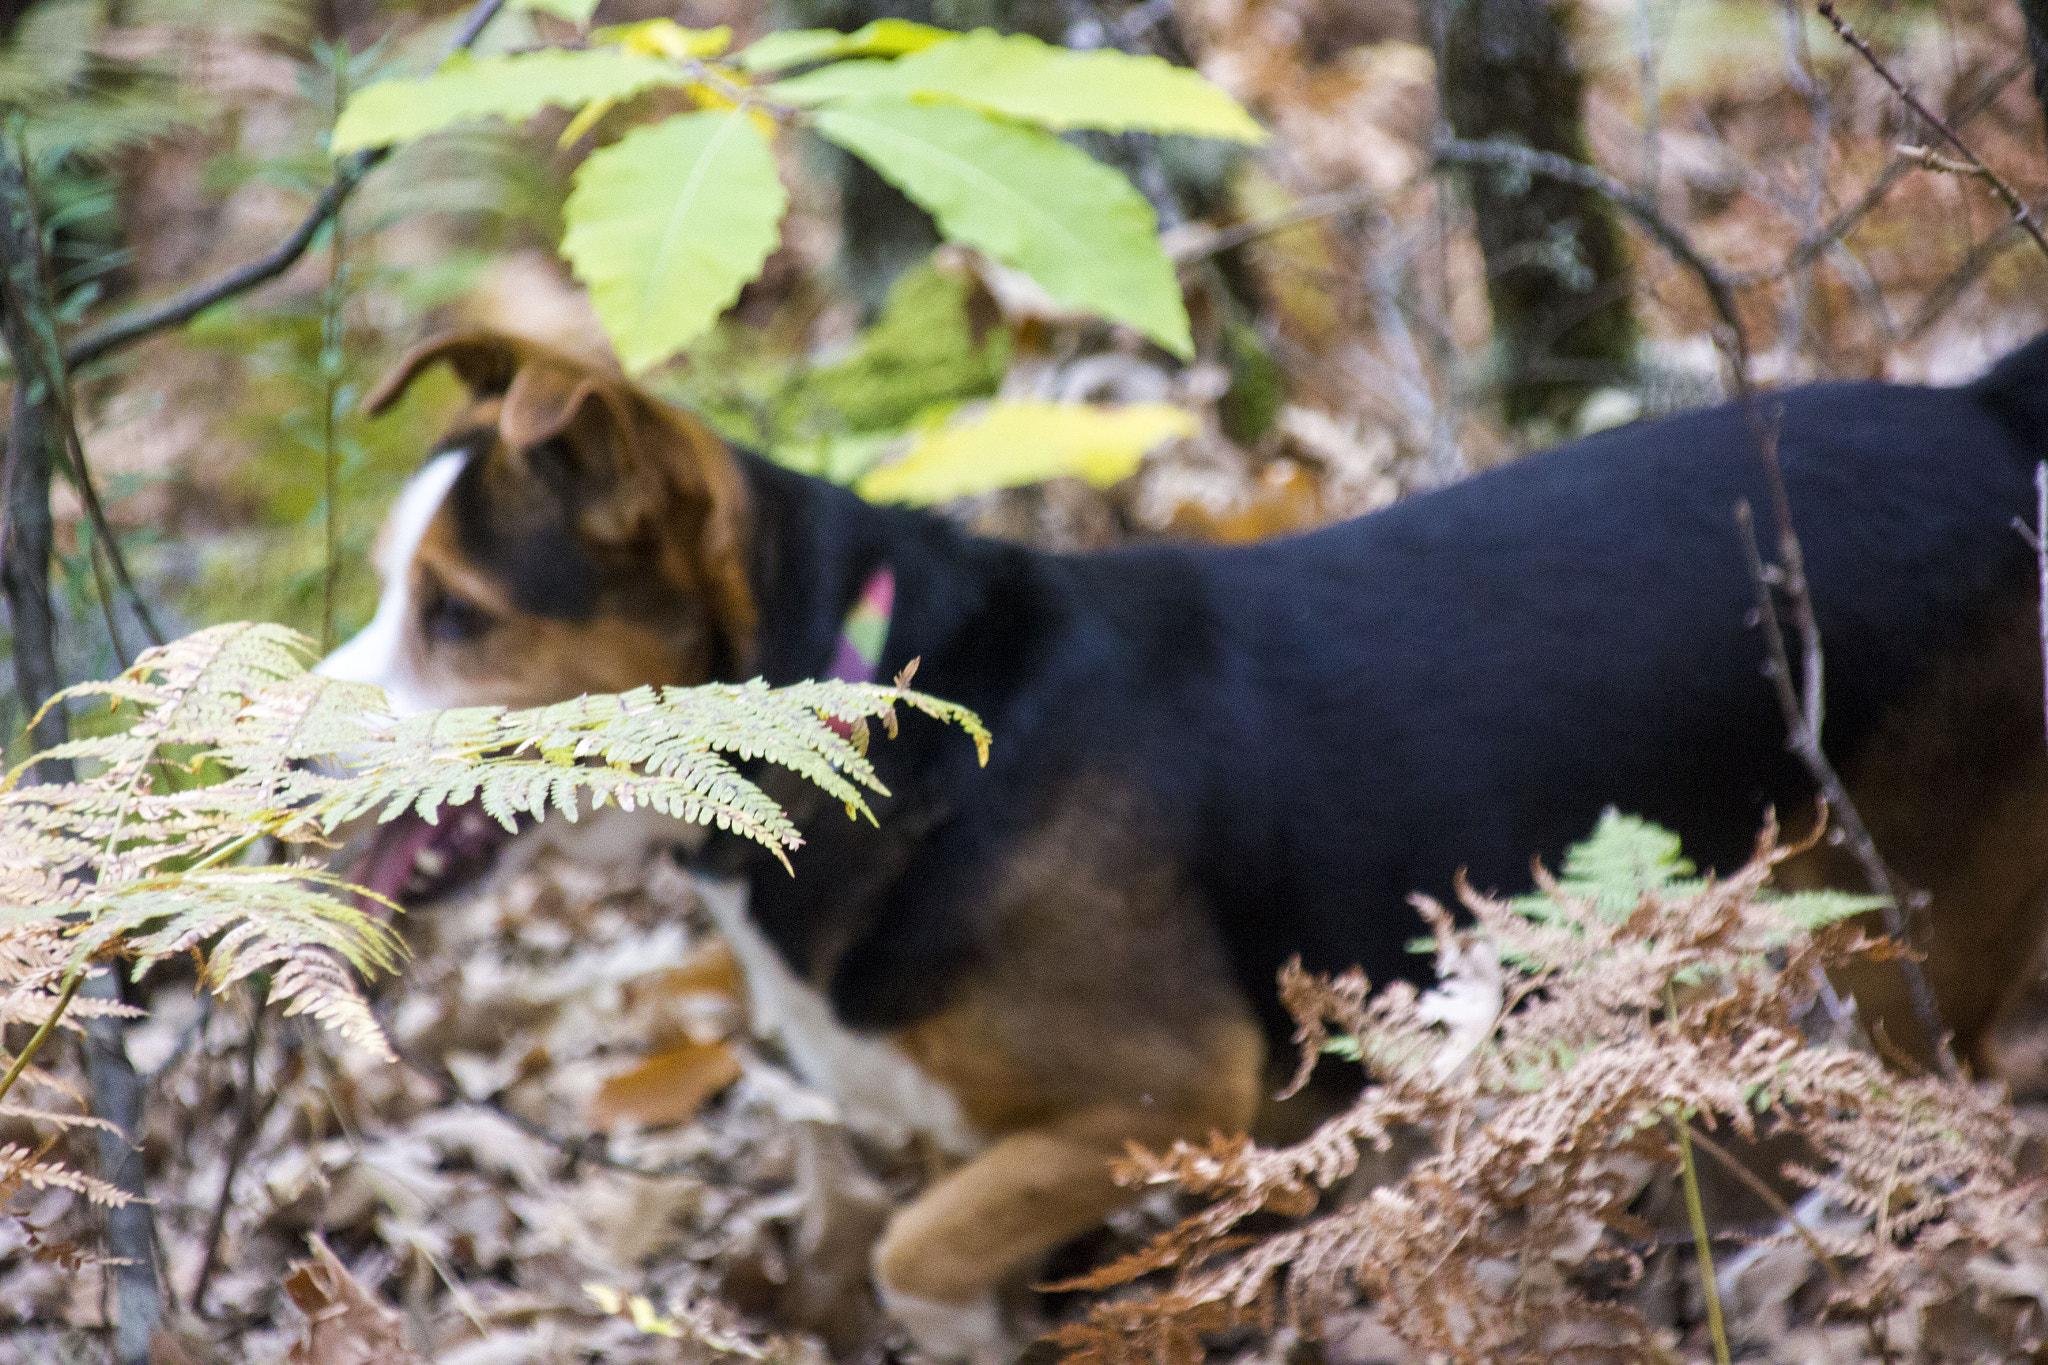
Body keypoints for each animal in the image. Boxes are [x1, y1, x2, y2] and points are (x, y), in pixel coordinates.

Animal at [323, 331, 2048, 1365]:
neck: (859, 724)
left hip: (1906, 928)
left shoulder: (1165, 1103)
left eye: (456, 616)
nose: (272, 737)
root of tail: (1982, 409)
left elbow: (916, 1255)